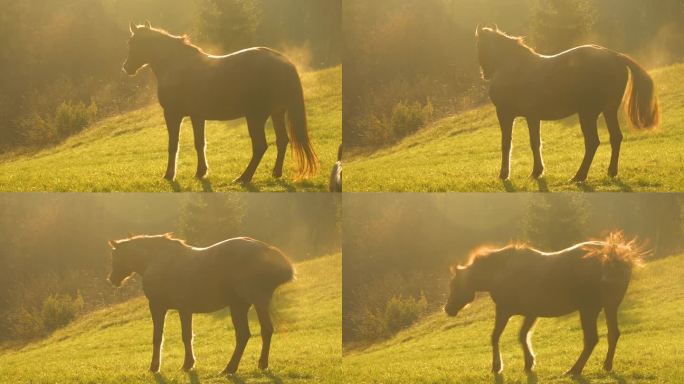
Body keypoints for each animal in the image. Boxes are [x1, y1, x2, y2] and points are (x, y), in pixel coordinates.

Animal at [107, 234, 294, 376]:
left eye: (115, 256)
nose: (112, 279)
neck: (156, 260)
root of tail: (267, 251)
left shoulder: (159, 307)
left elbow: (160, 337)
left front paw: (158, 367)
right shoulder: (185, 310)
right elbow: (187, 336)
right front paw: (188, 364)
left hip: (251, 304)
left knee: (256, 332)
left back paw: (237, 367)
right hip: (243, 306)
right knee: (252, 334)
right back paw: (244, 366)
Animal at [123, 21, 318, 184]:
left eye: (134, 43)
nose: (126, 67)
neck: (177, 66)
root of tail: (284, 62)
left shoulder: (173, 114)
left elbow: (173, 145)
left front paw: (169, 175)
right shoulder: (197, 116)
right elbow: (199, 143)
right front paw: (200, 172)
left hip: (256, 117)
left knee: (260, 146)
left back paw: (244, 178)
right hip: (276, 113)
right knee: (282, 141)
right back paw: (275, 173)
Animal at [444, 232, 640, 376]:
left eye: (453, 285)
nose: (448, 309)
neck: (500, 270)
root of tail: (613, 256)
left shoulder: (504, 310)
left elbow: (495, 336)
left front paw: (496, 366)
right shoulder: (531, 313)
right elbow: (522, 336)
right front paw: (528, 363)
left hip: (589, 310)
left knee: (592, 339)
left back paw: (574, 370)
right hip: (609, 307)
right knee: (613, 334)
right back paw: (606, 366)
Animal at [472, 25, 660, 182]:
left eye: (480, 45)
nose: (485, 74)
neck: (514, 66)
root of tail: (614, 56)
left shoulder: (505, 114)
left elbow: (506, 143)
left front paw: (504, 174)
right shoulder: (532, 117)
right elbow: (535, 143)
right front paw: (536, 172)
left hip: (588, 114)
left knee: (593, 142)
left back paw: (579, 176)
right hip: (609, 111)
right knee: (615, 137)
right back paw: (611, 172)